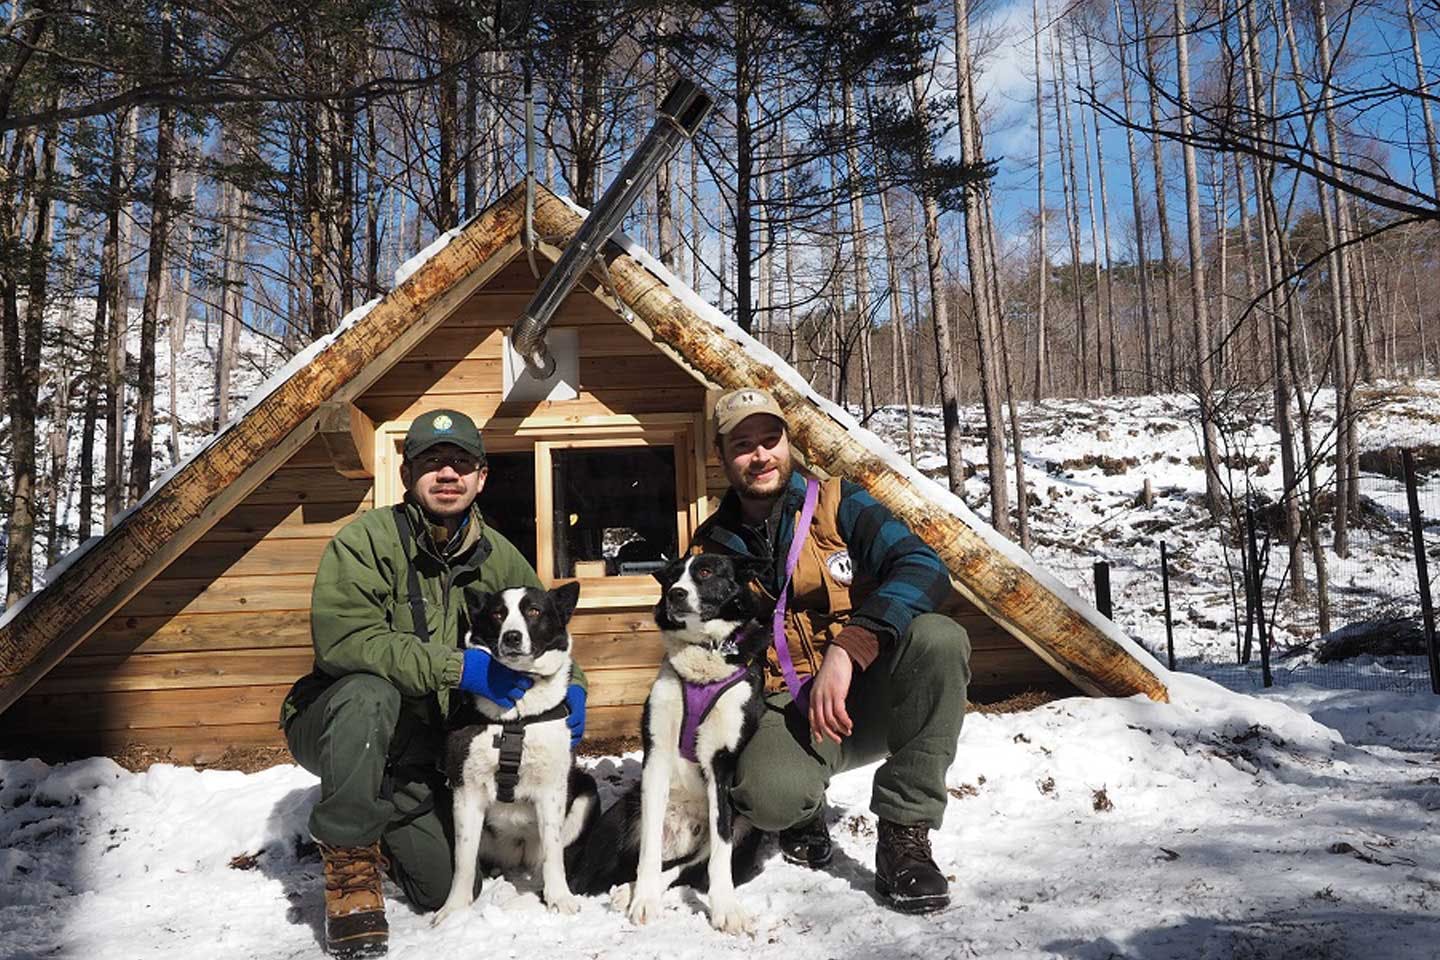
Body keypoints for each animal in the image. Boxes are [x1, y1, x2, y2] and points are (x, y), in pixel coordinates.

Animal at [432, 581, 601, 926]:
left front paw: (560, 899)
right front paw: (454, 910)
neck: (517, 715)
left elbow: (553, 852)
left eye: (534, 611)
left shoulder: (552, 790)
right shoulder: (465, 791)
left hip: (587, 795)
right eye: (498, 614)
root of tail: (516, 856)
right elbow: (463, 860)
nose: (511, 636)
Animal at [573, 552, 777, 932]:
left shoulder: (721, 766)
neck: (703, 653)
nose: (675, 595)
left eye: (706, 571)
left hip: (745, 826)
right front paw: (644, 899)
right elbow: (649, 852)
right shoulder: (656, 757)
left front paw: (726, 908)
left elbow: (719, 853)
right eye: (671, 577)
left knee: (689, 867)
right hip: (623, 812)